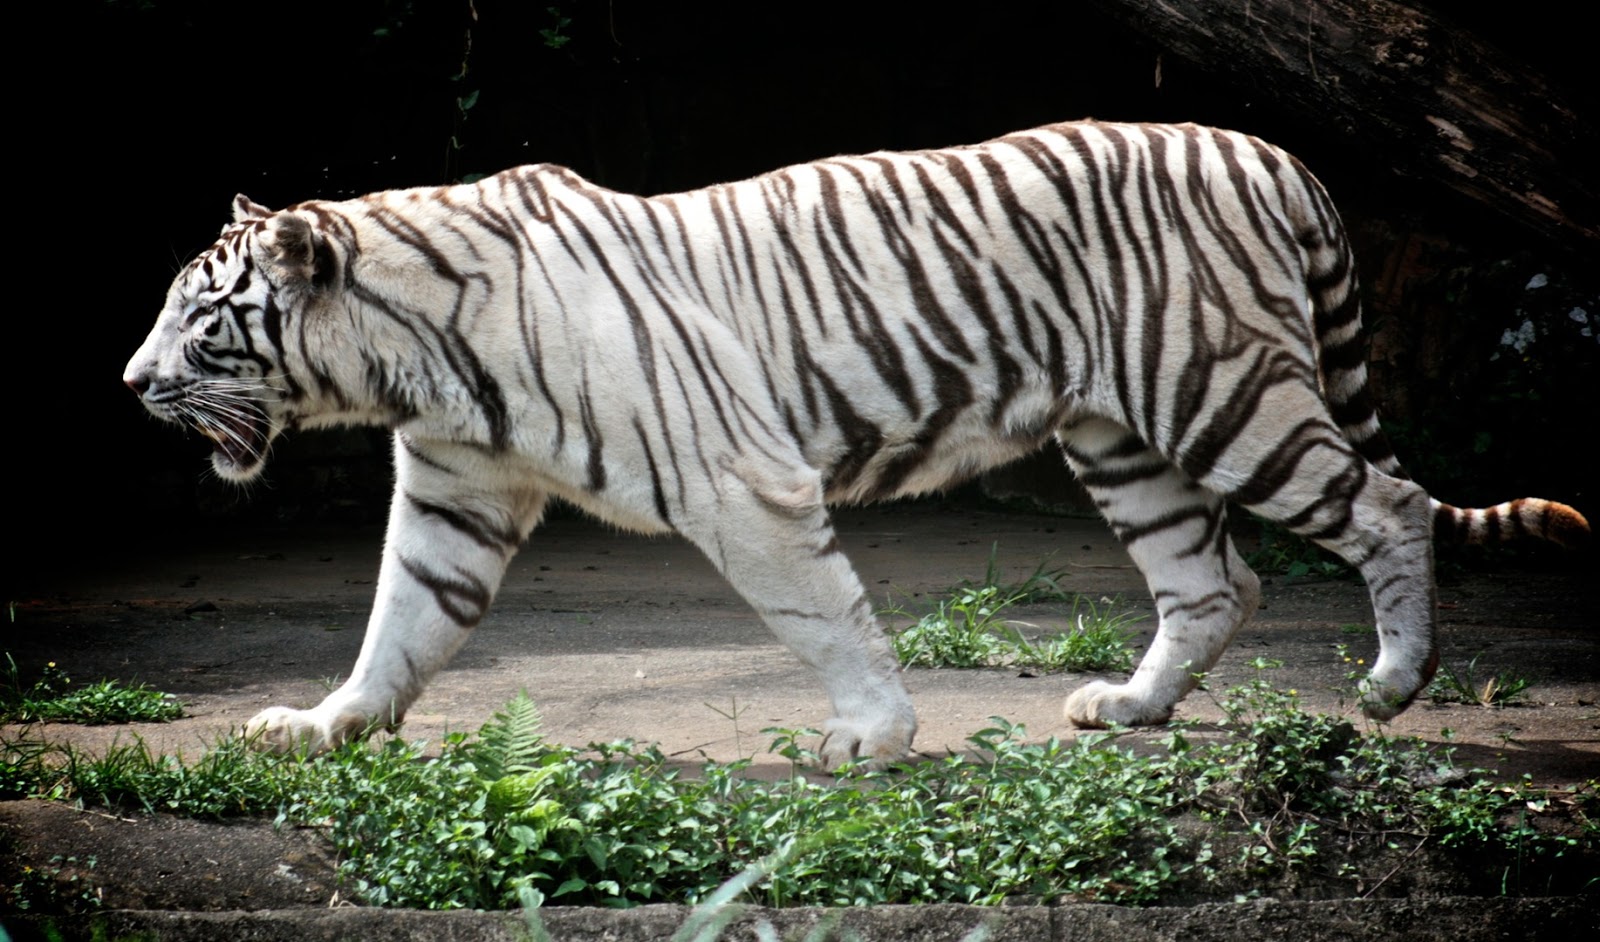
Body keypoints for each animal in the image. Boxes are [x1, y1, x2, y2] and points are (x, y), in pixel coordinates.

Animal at [124, 120, 1588, 769]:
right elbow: (401, 621)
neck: (409, 354)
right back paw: (1128, 707)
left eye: (204, 320)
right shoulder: (454, 492)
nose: (131, 382)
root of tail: (1272, 150)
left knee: (1387, 504)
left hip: (1227, 397)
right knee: (1216, 581)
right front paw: (326, 722)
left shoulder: (743, 483)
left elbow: (823, 612)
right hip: (1125, 440)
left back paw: (1393, 684)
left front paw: (870, 736)